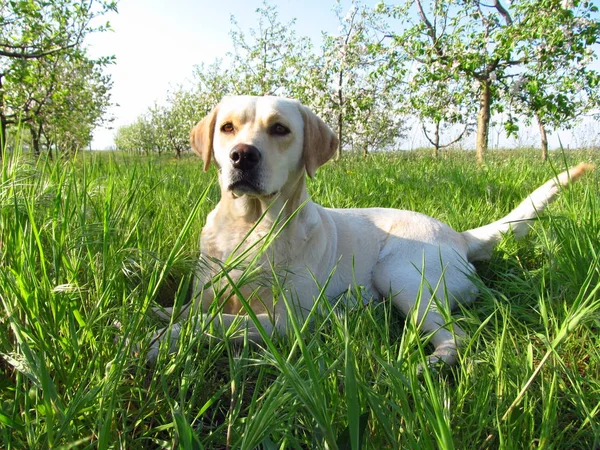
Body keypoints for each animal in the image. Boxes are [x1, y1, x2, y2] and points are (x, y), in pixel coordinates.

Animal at [149, 95, 592, 366]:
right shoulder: (209, 291)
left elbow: (214, 323)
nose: (242, 156)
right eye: (227, 128)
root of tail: (459, 235)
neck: (249, 225)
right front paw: (155, 313)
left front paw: (157, 341)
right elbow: (191, 309)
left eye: (279, 129)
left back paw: (429, 364)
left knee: (457, 335)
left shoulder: (285, 321)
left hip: (400, 276)